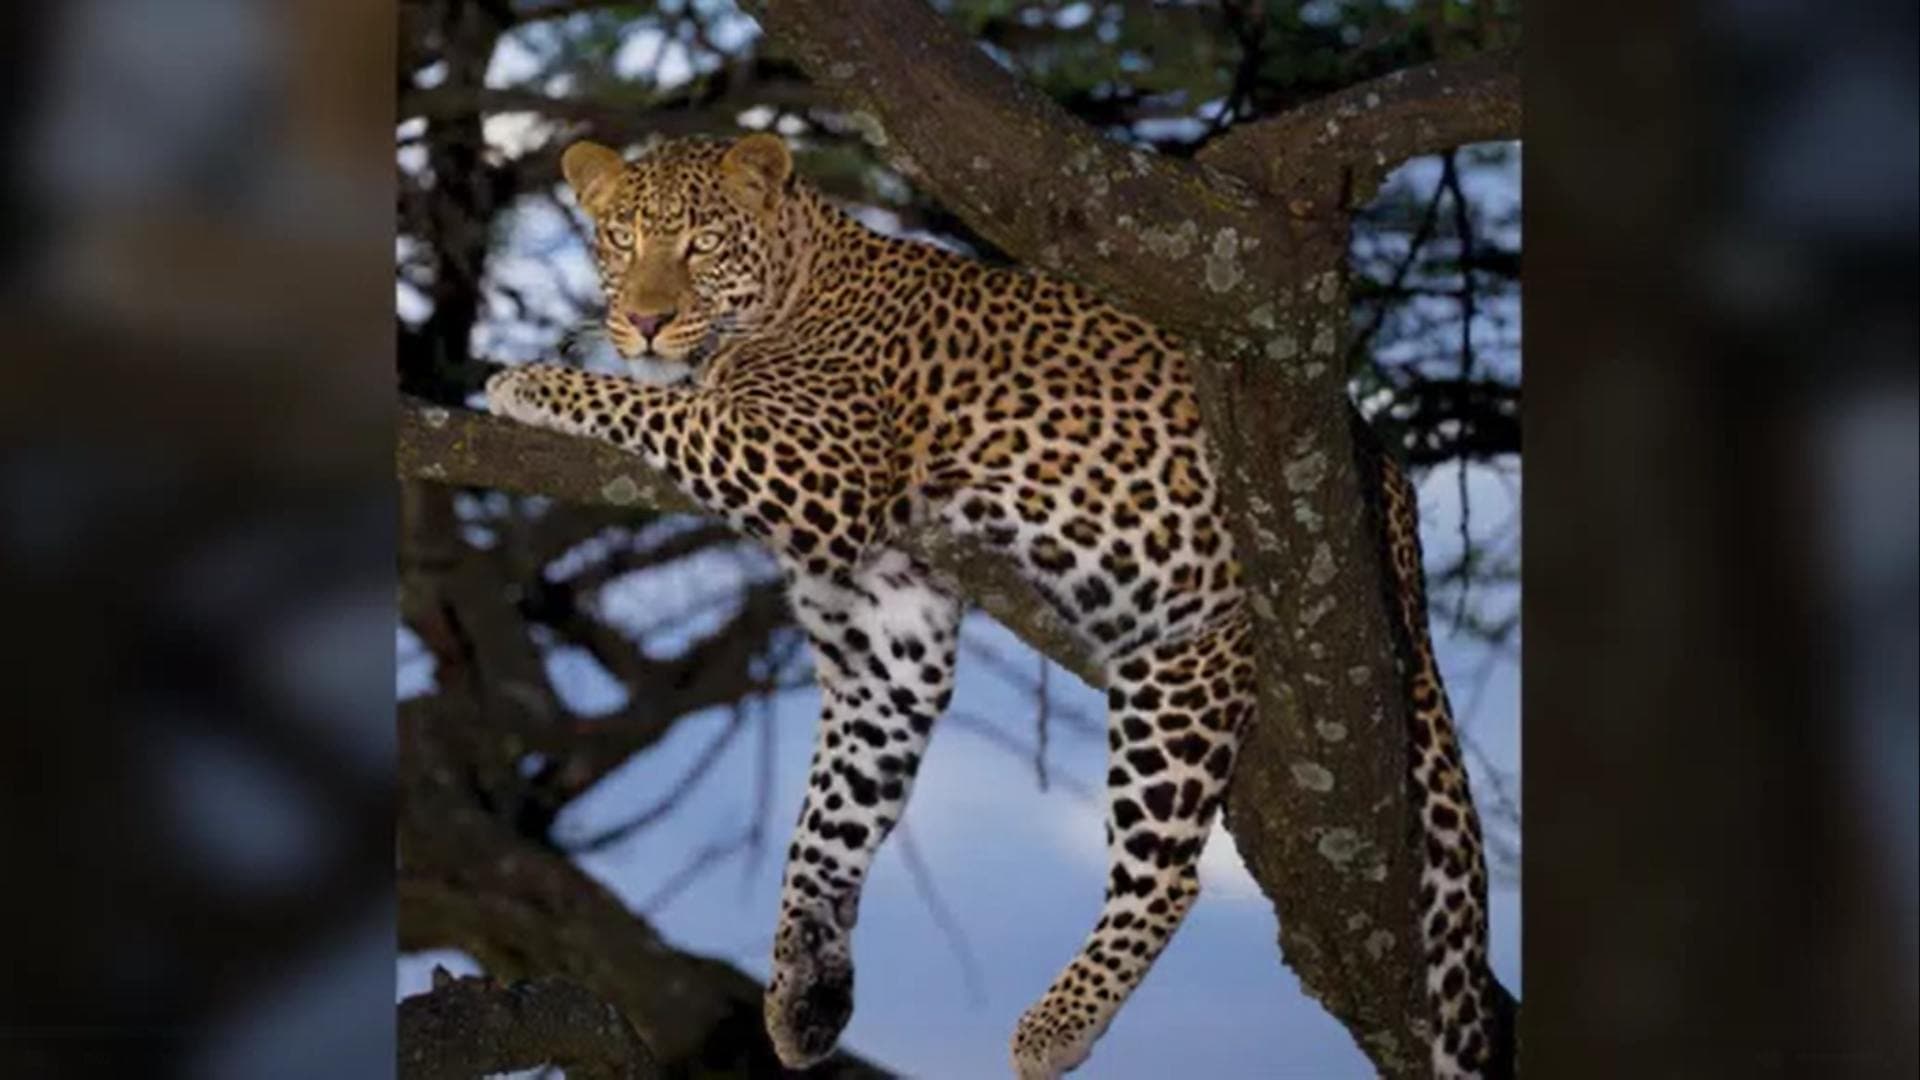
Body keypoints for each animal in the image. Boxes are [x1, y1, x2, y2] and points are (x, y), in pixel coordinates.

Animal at [483, 132, 1497, 1078]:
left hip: (1186, 669)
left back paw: (1056, 1026)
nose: (644, 320)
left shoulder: (812, 462)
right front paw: (803, 988)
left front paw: (527, 380)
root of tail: (1393, 505)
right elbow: (828, 823)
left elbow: (656, 409)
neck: (793, 277)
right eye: (620, 240)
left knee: (1167, 872)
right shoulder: (887, 640)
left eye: (699, 245)